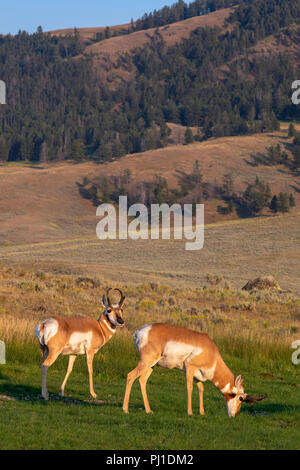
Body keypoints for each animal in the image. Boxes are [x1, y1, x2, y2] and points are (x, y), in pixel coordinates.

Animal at [123, 324, 266, 418]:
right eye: (240, 398)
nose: (234, 415)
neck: (211, 352)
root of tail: (140, 331)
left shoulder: (198, 375)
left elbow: (201, 389)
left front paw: (202, 412)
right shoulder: (189, 368)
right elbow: (189, 387)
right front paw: (190, 412)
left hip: (151, 365)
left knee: (142, 380)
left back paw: (148, 410)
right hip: (146, 362)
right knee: (130, 376)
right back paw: (125, 410)